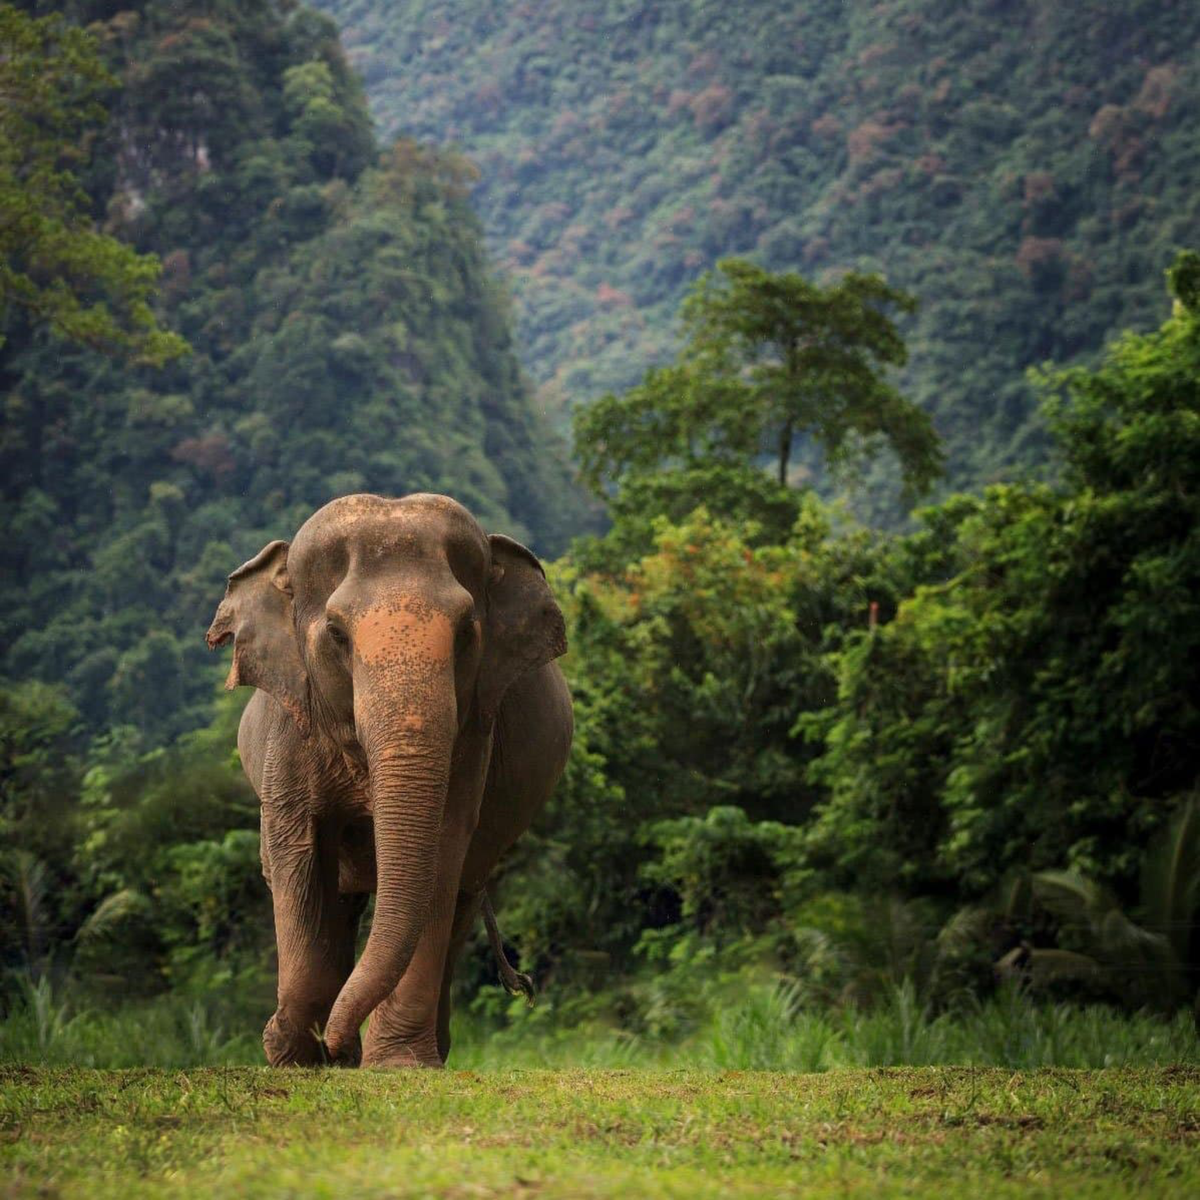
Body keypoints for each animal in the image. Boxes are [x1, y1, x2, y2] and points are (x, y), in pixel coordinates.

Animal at [205, 493, 572, 1068]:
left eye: (466, 632)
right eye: (337, 634)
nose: (335, 1042)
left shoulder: (472, 732)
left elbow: (440, 849)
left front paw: (395, 1063)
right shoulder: (293, 727)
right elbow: (299, 853)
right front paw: (295, 1051)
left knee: (459, 899)